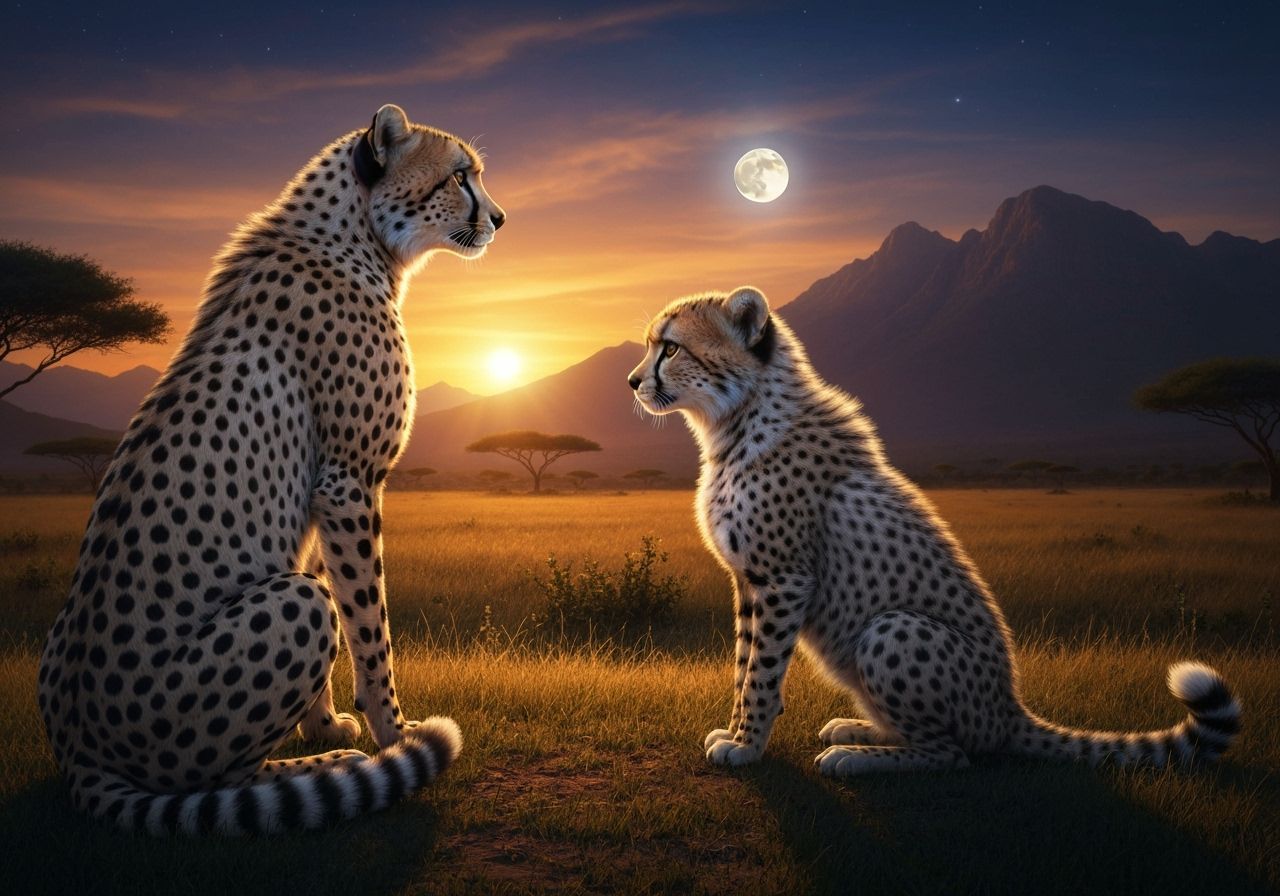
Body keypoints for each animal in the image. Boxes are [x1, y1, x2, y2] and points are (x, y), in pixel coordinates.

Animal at [36, 103, 506, 834]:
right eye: (460, 176)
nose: (501, 218)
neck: (357, 238)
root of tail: (80, 747)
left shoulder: (316, 496)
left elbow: (336, 597)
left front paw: (324, 722)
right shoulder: (348, 482)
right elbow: (367, 624)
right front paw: (393, 734)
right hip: (291, 608)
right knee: (217, 780)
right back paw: (323, 769)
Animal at [628, 286, 1241, 775]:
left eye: (670, 347)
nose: (633, 381)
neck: (736, 419)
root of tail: (1008, 709)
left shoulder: (782, 577)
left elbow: (761, 672)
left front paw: (747, 746)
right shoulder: (749, 580)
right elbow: (743, 663)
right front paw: (736, 732)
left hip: (892, 628)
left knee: (953, 752)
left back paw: (857, 757)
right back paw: (860, 729)